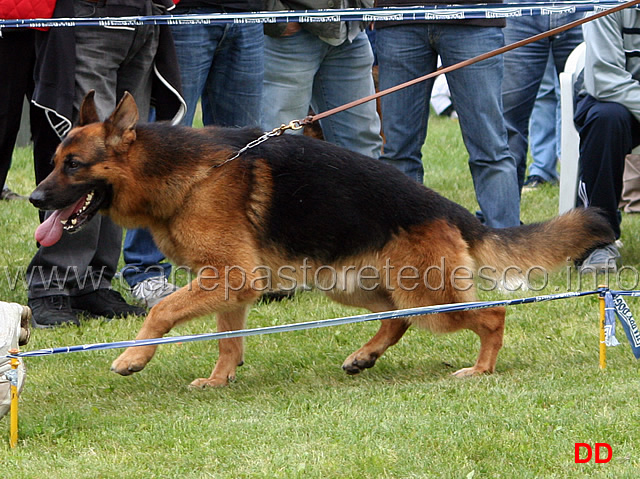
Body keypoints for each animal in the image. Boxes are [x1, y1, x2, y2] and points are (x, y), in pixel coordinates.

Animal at [30, 92, 616, 388]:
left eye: (73, 165)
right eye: (54, 161)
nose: (34, 199)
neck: (187, 173)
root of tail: (450, 209)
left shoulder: (227, 278)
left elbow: (162, 311)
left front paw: (134, 358)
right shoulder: (229, 285)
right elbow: (227, 339)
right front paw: (220, 379)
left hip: (428, 298)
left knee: (490, 315)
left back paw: (482, 369)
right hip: (356, 286)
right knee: (396, 320)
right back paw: (364, 356)